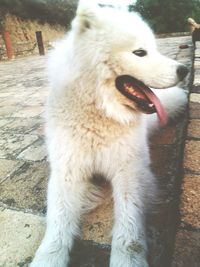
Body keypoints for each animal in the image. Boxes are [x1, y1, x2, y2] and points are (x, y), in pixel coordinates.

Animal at [29, 1, 188, 266]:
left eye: (154, 48)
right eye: (140, 52)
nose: (184, 70)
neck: (101, 113)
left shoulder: (130, 171)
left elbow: (129, 224)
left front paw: (127, 260)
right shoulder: (68, 172)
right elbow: (57, 223)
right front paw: (47, 258)